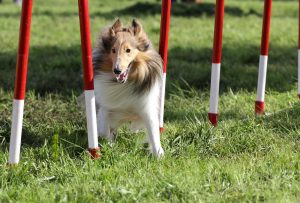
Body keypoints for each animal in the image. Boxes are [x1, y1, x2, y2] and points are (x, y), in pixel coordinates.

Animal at [92, 18, 165, 157]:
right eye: (113, 50)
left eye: (128, 50)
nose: (117, 70)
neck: (126, 82)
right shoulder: (106, 107)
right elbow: (104, 129)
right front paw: (109, 144)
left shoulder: (147, 107)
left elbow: (153, 132)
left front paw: (159, 155)